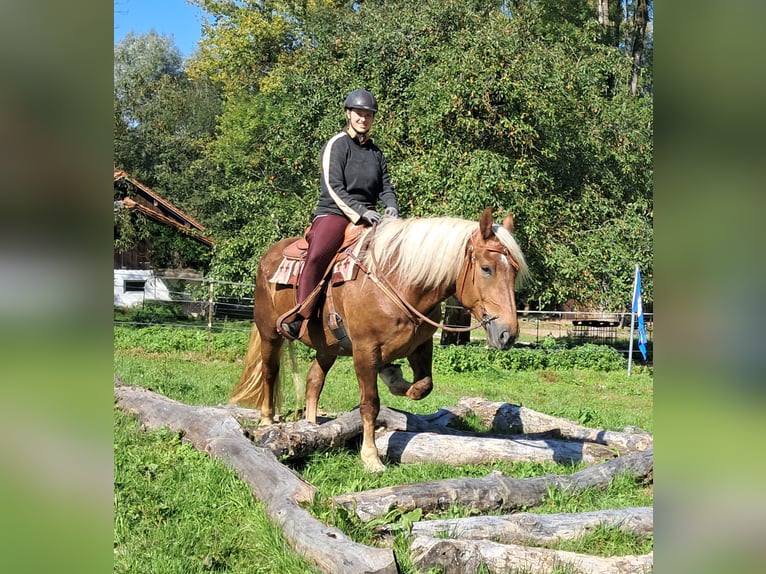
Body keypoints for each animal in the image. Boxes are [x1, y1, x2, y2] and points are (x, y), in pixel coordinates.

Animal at [228, 209, 528, 474]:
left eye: (514, 271)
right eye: (487, 268)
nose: (507, 334)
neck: (400, 283)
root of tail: (268, 256)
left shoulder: (422, 346)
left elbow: (422, 387)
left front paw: (393, 375)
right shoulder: (365, 351)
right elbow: (370, 404)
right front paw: (371, 458)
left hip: (327, 347)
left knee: (314, 379)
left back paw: (312, 427)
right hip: (269, 333)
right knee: (270, 372)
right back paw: (267, 419)